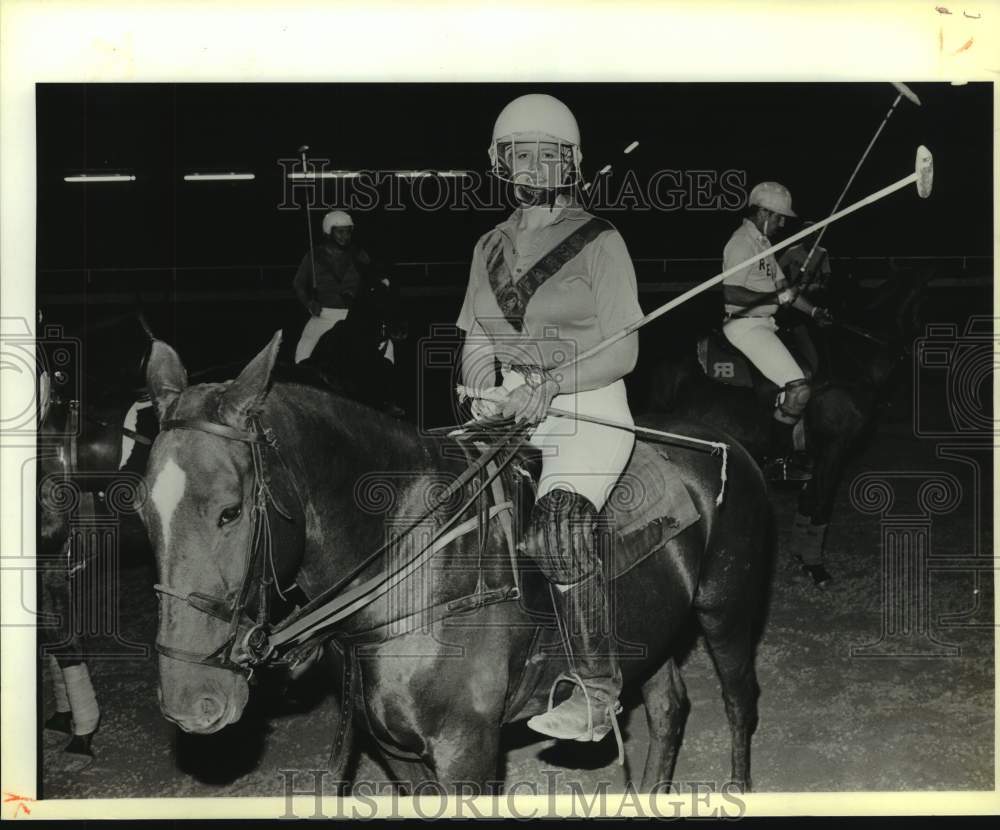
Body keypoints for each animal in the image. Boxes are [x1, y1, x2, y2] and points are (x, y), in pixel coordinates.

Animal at [139, 332, 772, 792]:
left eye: (229, 510)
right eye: (143, 512)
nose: (193, 703)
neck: (416, 567)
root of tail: (728, 444)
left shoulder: (467, 750)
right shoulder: (397, 753)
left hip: (726, 608)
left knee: (740, 701)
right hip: (649, 629)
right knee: (669, 709)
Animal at [648, 264, 928, 580]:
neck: (852, 359)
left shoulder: (815, 455)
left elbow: (807, 502)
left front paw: (803, 557)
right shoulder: (834, 449)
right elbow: (821, 504)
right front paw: (817, 567)